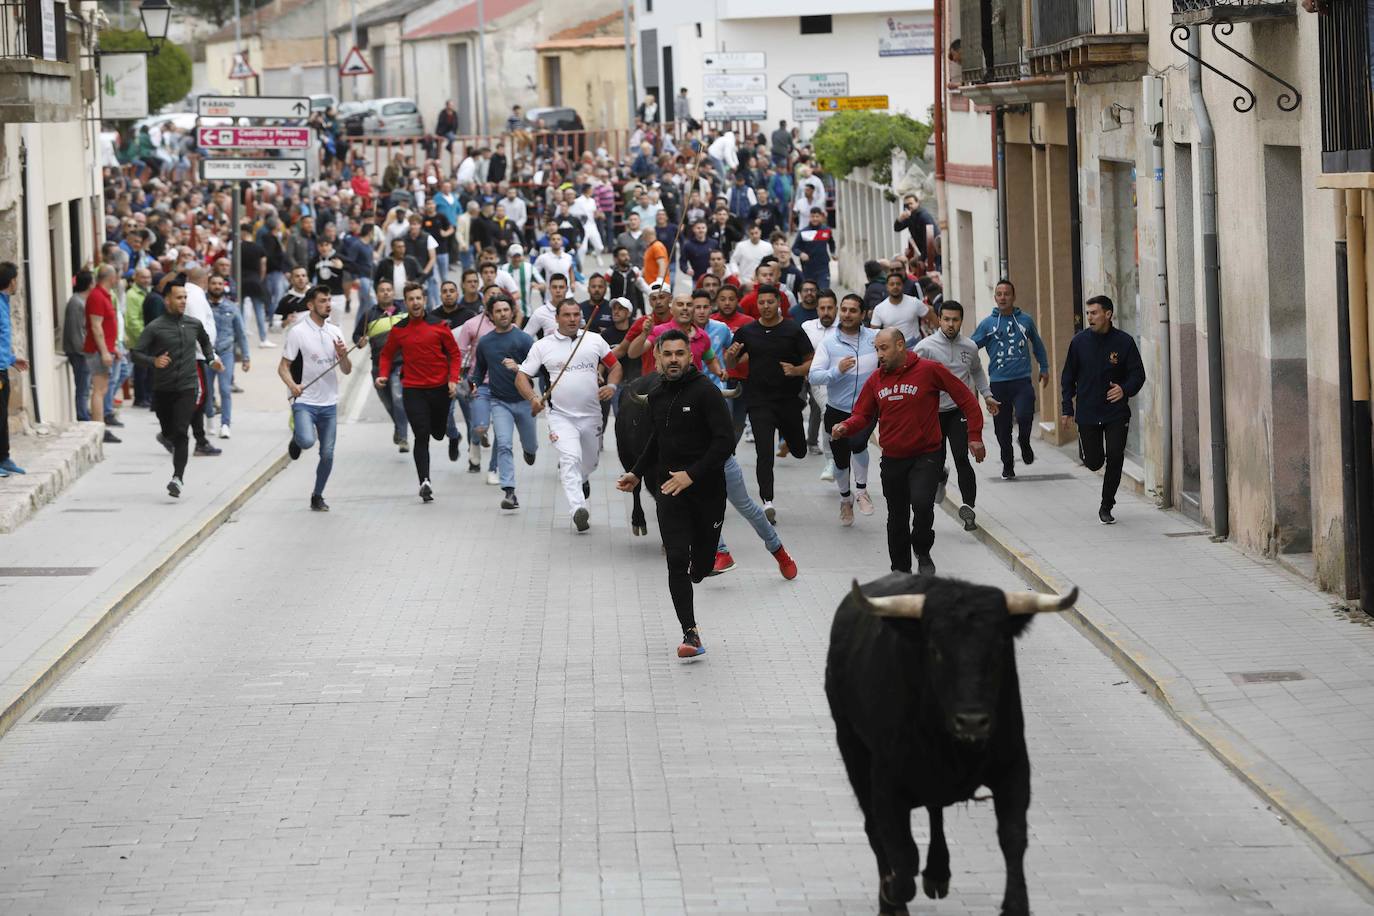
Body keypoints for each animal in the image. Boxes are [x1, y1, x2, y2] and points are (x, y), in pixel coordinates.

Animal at [818, 576, 1077, 911]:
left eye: (999, 646)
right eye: (935, 650)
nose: (972, 720)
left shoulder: (1014, 767)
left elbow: (1013, 836)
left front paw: (1015, 903)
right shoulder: (885, 783)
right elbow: (901, 853)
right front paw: (892, 893)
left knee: (934, 809)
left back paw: (938, 872)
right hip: (852, 747)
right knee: (875, 828)